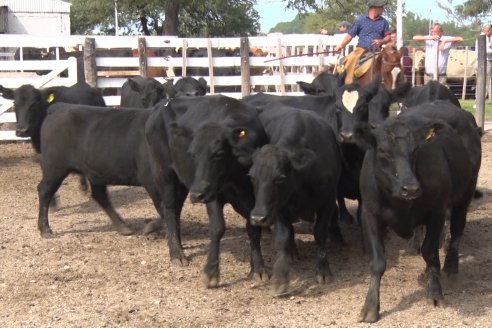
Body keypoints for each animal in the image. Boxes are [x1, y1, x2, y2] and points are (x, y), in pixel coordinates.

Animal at [145, 95, 270, 284]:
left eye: (218, 153)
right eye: (193, 154)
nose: (197, 194)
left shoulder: (253, 197)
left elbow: (254, 229)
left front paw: (258, 268)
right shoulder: (212, 194)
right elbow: (217, 228)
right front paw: (211, 272)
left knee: (177, 211)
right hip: (165, 175)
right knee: (169, 209)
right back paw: (176, 253)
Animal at [250, 107, 342, 294]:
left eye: (279, 178)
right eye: (252, 177)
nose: (258, 218)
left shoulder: (327, 201)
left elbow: (320, 233)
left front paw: (323, 271)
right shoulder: (279, 208)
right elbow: (283, 236)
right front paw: (280, 277)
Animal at [354, 109, 480, 320]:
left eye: (415, 151)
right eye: (383, 151)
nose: (411, 188)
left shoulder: (437, 212)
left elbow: (430, 252)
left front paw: (435, 293)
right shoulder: (369, 214)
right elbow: (378, 262)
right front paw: (370, 306)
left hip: (464, 195)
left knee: (456, 231)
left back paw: (450, 267)